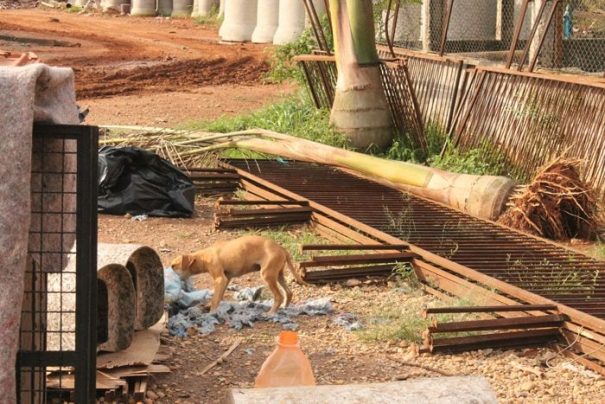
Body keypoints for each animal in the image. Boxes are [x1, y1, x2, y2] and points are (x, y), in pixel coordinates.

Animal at [169, 234, 302, 316]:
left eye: (173, 265)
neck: (203, 257)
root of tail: (282, 248)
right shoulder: (226, 278)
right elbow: (219, 297)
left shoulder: (220, 279)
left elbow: (215, 298)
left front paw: (212, 313)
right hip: (278, 274)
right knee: (289, 292)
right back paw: (284, 307)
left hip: (267, 275)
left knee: (279, 296)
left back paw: (271, 313)